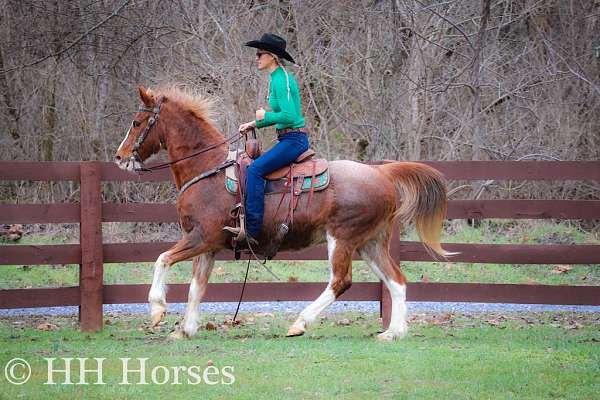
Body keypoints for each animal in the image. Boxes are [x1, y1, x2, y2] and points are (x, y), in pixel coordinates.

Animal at [115, 84, 450, 340]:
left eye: (136, 123)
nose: (119, 157)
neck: (208, 169)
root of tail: (382, 173)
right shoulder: (208, 246)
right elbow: (197, 287)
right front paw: (185, 329)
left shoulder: (202, 237)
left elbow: (162, 259)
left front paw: (157, 310)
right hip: (371, 242)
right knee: (397, 281)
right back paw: (393, 333)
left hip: (342, 238)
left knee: (341, 281)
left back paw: (300, 323)